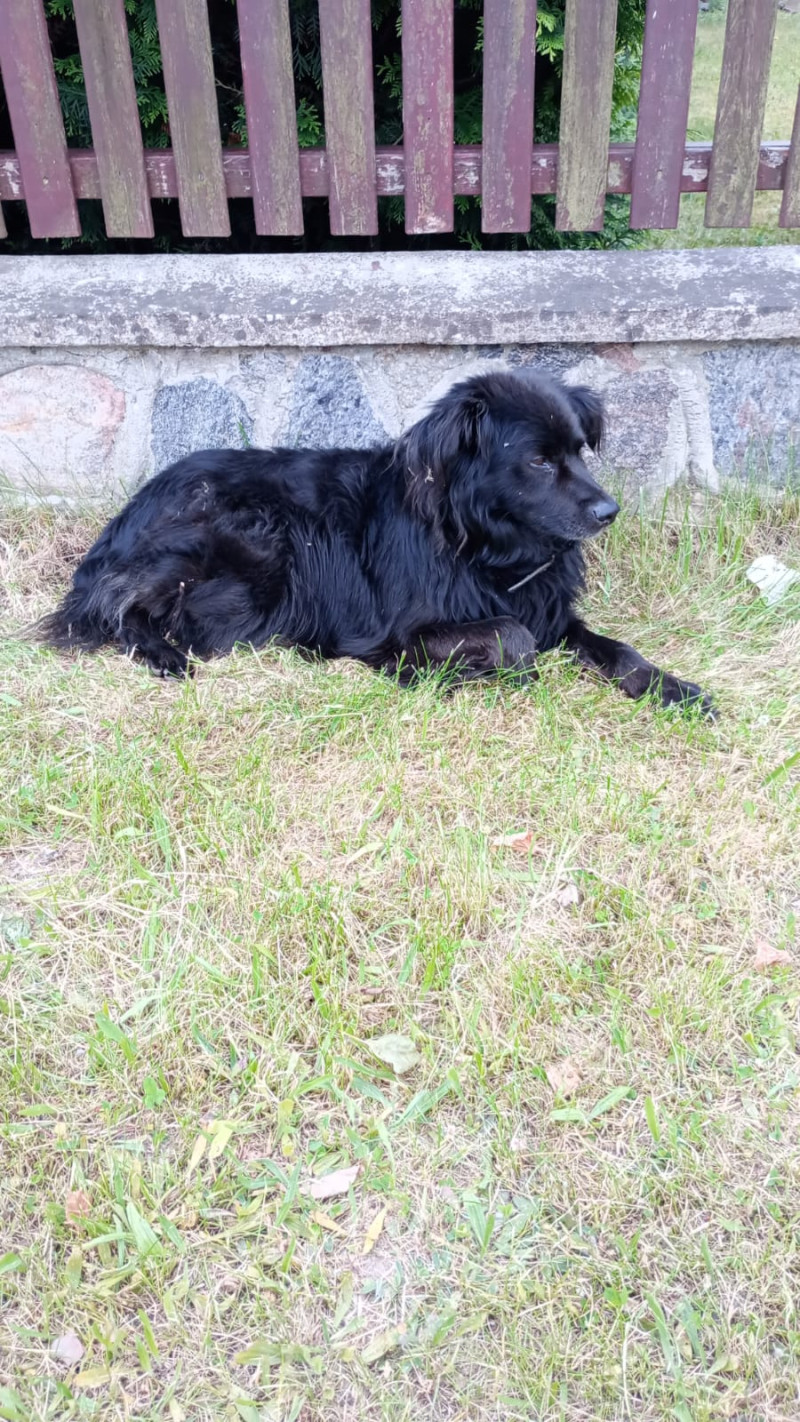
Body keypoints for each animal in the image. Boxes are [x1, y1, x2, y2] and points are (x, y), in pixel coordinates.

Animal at [37, 369, 714, 715]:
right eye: (540, 461)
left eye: (578, 450)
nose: (609, 511)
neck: (484, 550)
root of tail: (131, 509)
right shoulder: (404, 630)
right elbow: (513, 639)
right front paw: (454, 675)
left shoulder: (552, 612)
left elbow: (616, 648)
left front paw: (671, 686)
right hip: (252, 536)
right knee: (115, 606)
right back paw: (163, 653)